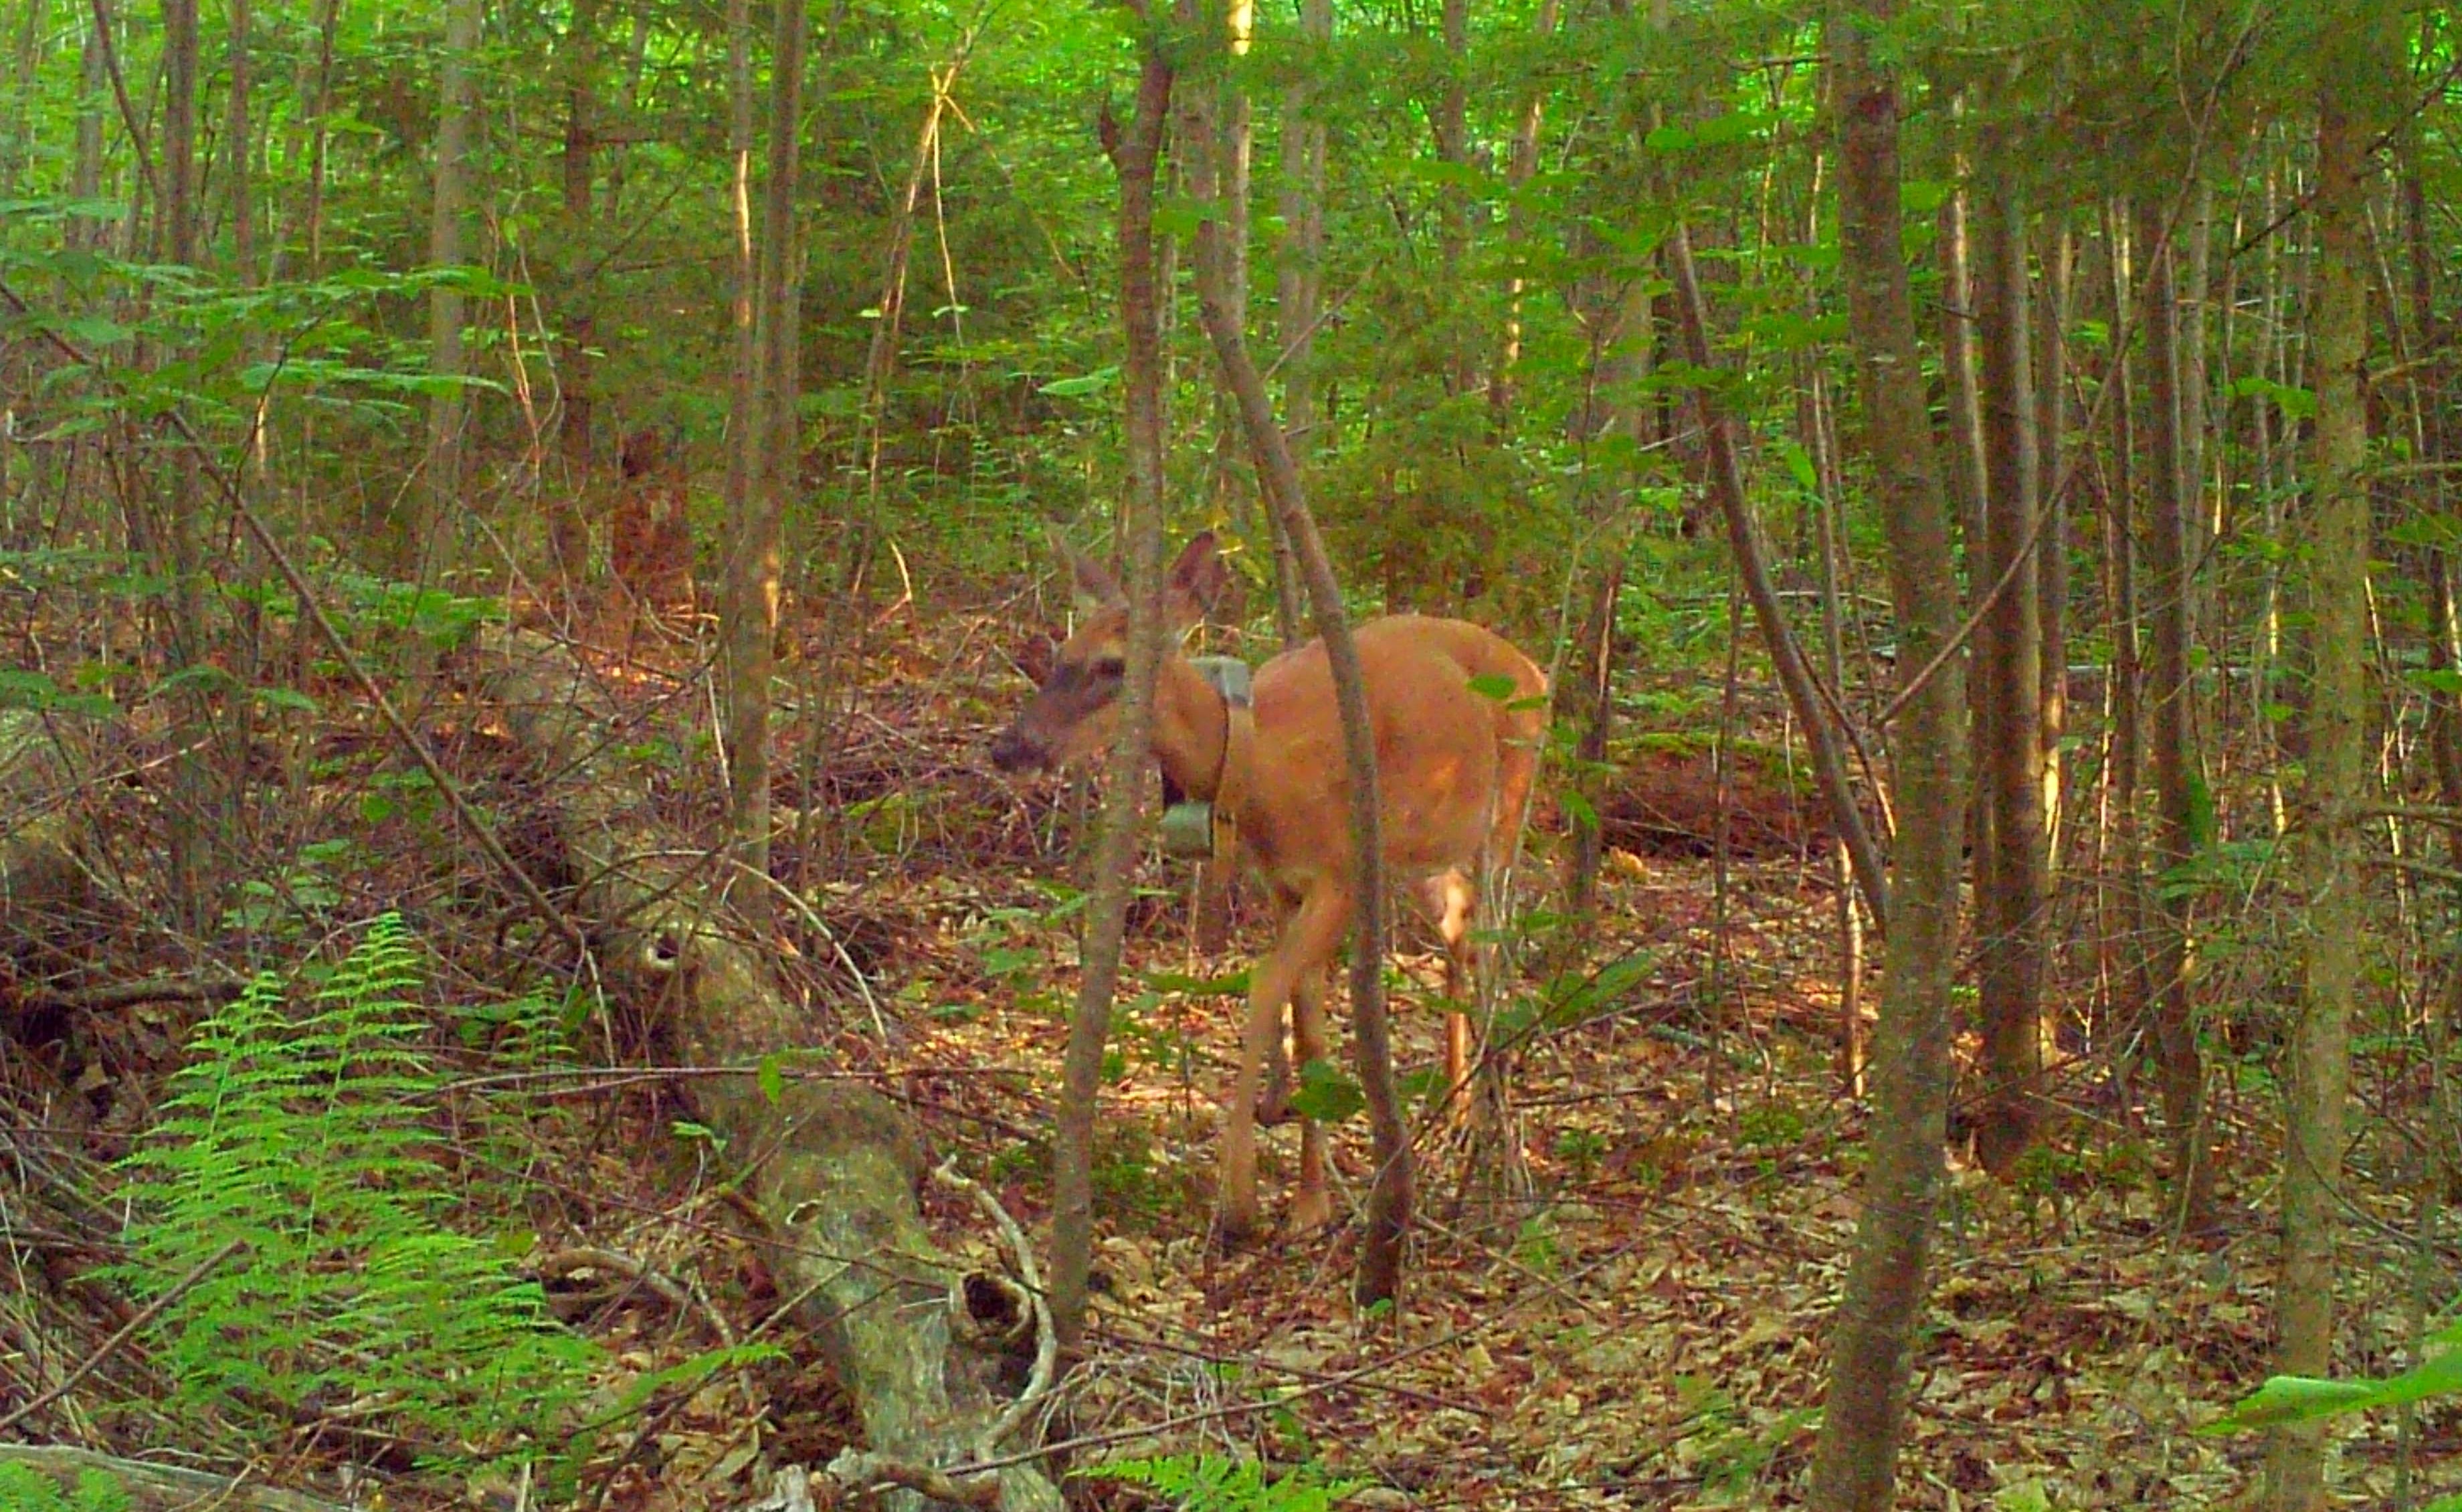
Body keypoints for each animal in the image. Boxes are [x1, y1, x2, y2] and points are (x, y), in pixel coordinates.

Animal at [994, 534, 1536, 1246]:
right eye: (1061, 654)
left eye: (1114, 666)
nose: (1010, 748)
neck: (1260, 771)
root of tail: (1535, 669)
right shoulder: (1284, 883)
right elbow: (1309, 1034)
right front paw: (1310, 1201)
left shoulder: (1340, 875)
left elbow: (1262, 986)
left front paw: (1240, 1199)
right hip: (1424, 859)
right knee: (1461, 936)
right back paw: (1458, 1112)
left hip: (1507, 808)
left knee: (1498, 950)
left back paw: (1496, 1142)